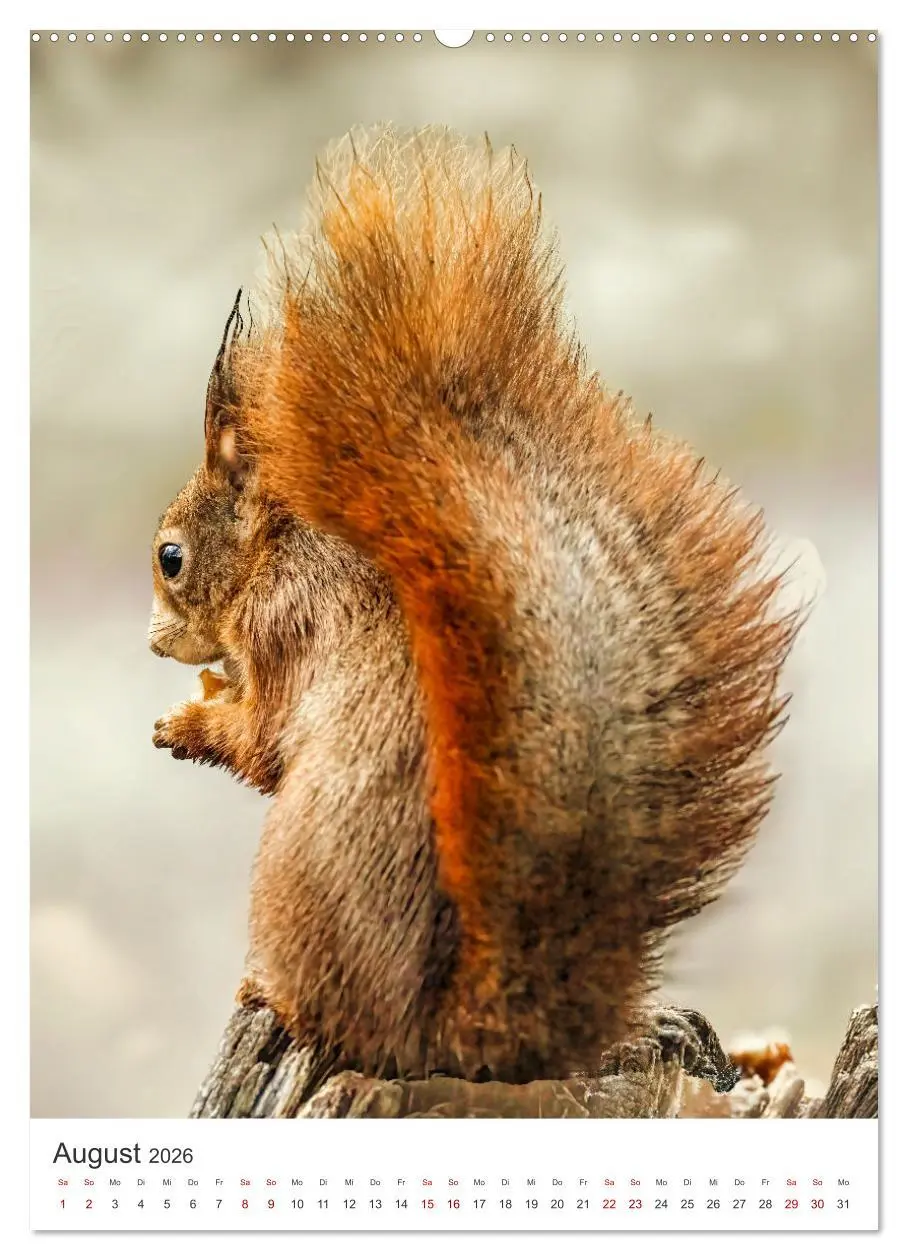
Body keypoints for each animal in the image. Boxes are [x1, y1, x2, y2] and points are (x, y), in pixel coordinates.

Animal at [149, 125, 801, 1085]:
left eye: (172, 558)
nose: (155, 641)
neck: (278, 553)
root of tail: (452, 1036)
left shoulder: (286, 629)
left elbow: (262, 741)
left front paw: (189, 723)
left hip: (298, 881)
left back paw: (274, 995)